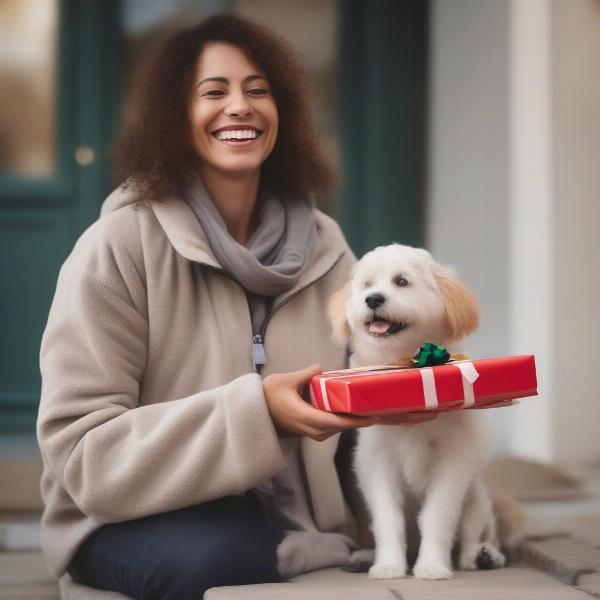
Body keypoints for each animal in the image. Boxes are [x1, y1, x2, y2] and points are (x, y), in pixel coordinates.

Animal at [328, 244, 506, 580]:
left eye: (401, 282)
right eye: (367, 285)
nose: (373, 299)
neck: (402, 364)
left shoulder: (452, 465)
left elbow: (437, 519)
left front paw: (432, 566)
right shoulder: (377, 465)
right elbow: (388, 522)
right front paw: (388, 565)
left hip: (476, 498)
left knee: (474, 534)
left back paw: (482, 555)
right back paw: (365, 557)